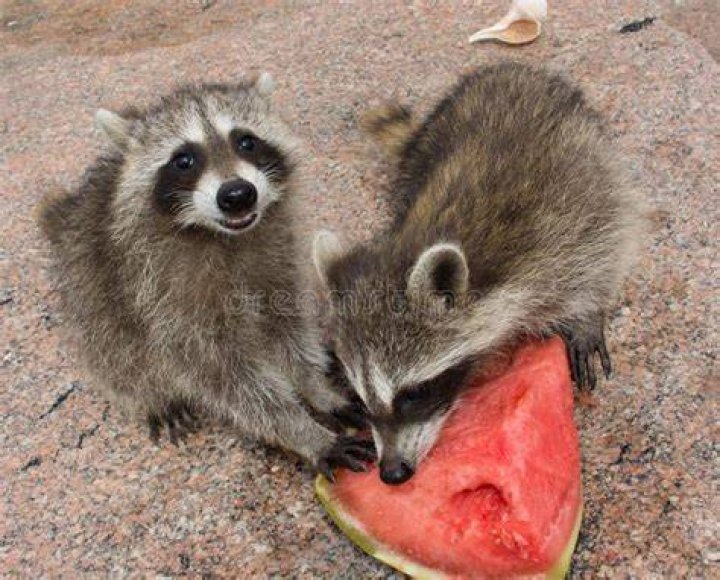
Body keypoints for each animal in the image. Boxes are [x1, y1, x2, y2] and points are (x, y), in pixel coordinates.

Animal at [38, 74, 373, 477]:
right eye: (184, 159)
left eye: (246, 141)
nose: (237, 195)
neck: (224, 236)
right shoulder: (162, 299)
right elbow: (225, 379)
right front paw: (303, 432)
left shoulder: (279, 261)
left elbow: (289, 330)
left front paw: (316, 387)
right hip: (89, 299)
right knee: (114, 355)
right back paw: (151, 397)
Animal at [313, 63, 644, 485]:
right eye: (359, 398)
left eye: (412, 394)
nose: (391, 473)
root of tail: (510, 69)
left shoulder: (564, 222)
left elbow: (600, 253)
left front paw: (587, 314)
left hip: (591, 148)